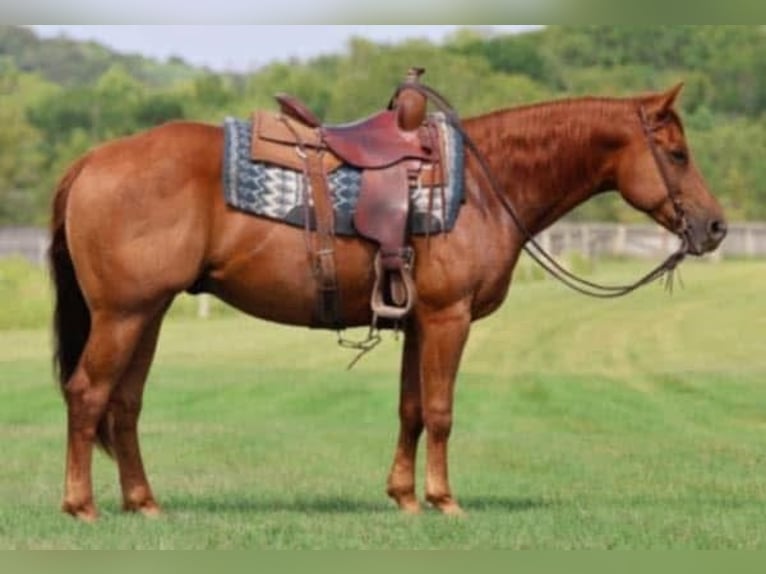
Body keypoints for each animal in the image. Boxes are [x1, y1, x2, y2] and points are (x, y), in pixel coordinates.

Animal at [51, 82, 728, 520]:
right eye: (677, 154)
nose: (716, 227)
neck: (483, 187)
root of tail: (90, 161)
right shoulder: (450, 318)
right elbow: (442, 411)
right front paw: (444, 500)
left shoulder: (419, 322)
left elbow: (411, 410)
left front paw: (403, 496)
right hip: (124, 314)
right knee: (88, 394)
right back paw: (81, 506)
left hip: (149, 313)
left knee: (124, 405)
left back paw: (144, 503)